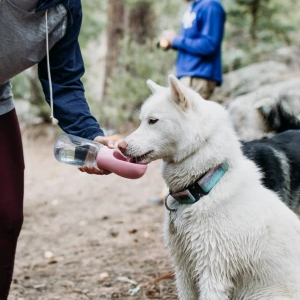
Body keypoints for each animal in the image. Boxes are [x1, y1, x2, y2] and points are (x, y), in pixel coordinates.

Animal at [119, 75, 300, 300]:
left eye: (153, 121)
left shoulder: (212, 273)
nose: (120, 146)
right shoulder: (183, 270)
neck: (202, 187)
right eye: (142, 120)